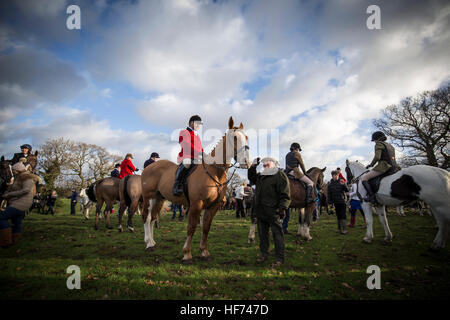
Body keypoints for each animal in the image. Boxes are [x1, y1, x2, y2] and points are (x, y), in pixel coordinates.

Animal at [142, 116, 251, 264]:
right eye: (234, 137)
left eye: (246, 137)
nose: (247, 162)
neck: (214, 171)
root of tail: (150, 166)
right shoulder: (196, 204)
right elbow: (191, 227)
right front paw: (187, 254)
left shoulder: (213, 206)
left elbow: (206, 227)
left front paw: (204, 252)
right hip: (148, 197)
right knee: (146, 218)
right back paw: (148, 243)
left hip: (159, 199)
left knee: (153, 218)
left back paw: (152, 243)